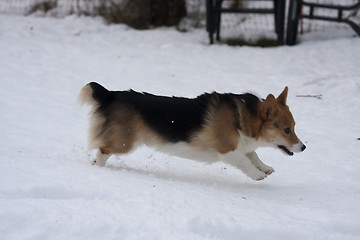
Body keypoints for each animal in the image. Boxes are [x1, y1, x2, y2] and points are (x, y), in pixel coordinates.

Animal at [80, 82, 306, 180]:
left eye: (294, 127)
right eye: (287, 130)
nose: (303, 147)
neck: (245, 116)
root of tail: (110, 94)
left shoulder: (242, 144)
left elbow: (254, 155)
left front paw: (265, 168)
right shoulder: (227, 150)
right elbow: (245, 161)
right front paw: (257, 175)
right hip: (124, 143)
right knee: (102, 151)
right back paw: (97, 169)